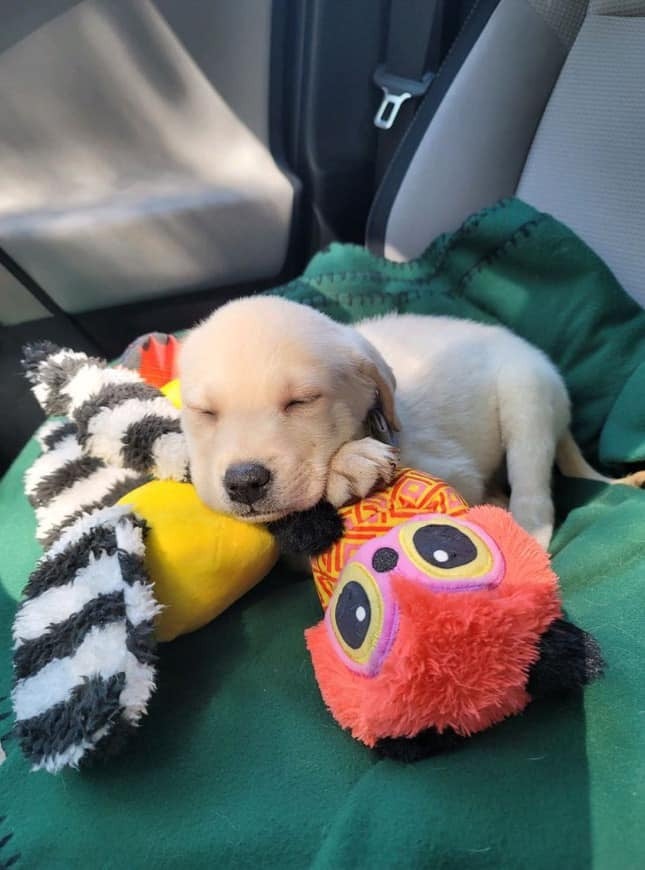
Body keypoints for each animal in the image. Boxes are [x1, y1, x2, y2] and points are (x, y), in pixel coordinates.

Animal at [177, 296, 644, 548]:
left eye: (301, 402)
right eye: (204, 412)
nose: (244, 482)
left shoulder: (455, 472)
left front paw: (349, 462)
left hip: (526, 395)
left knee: (534, 494)